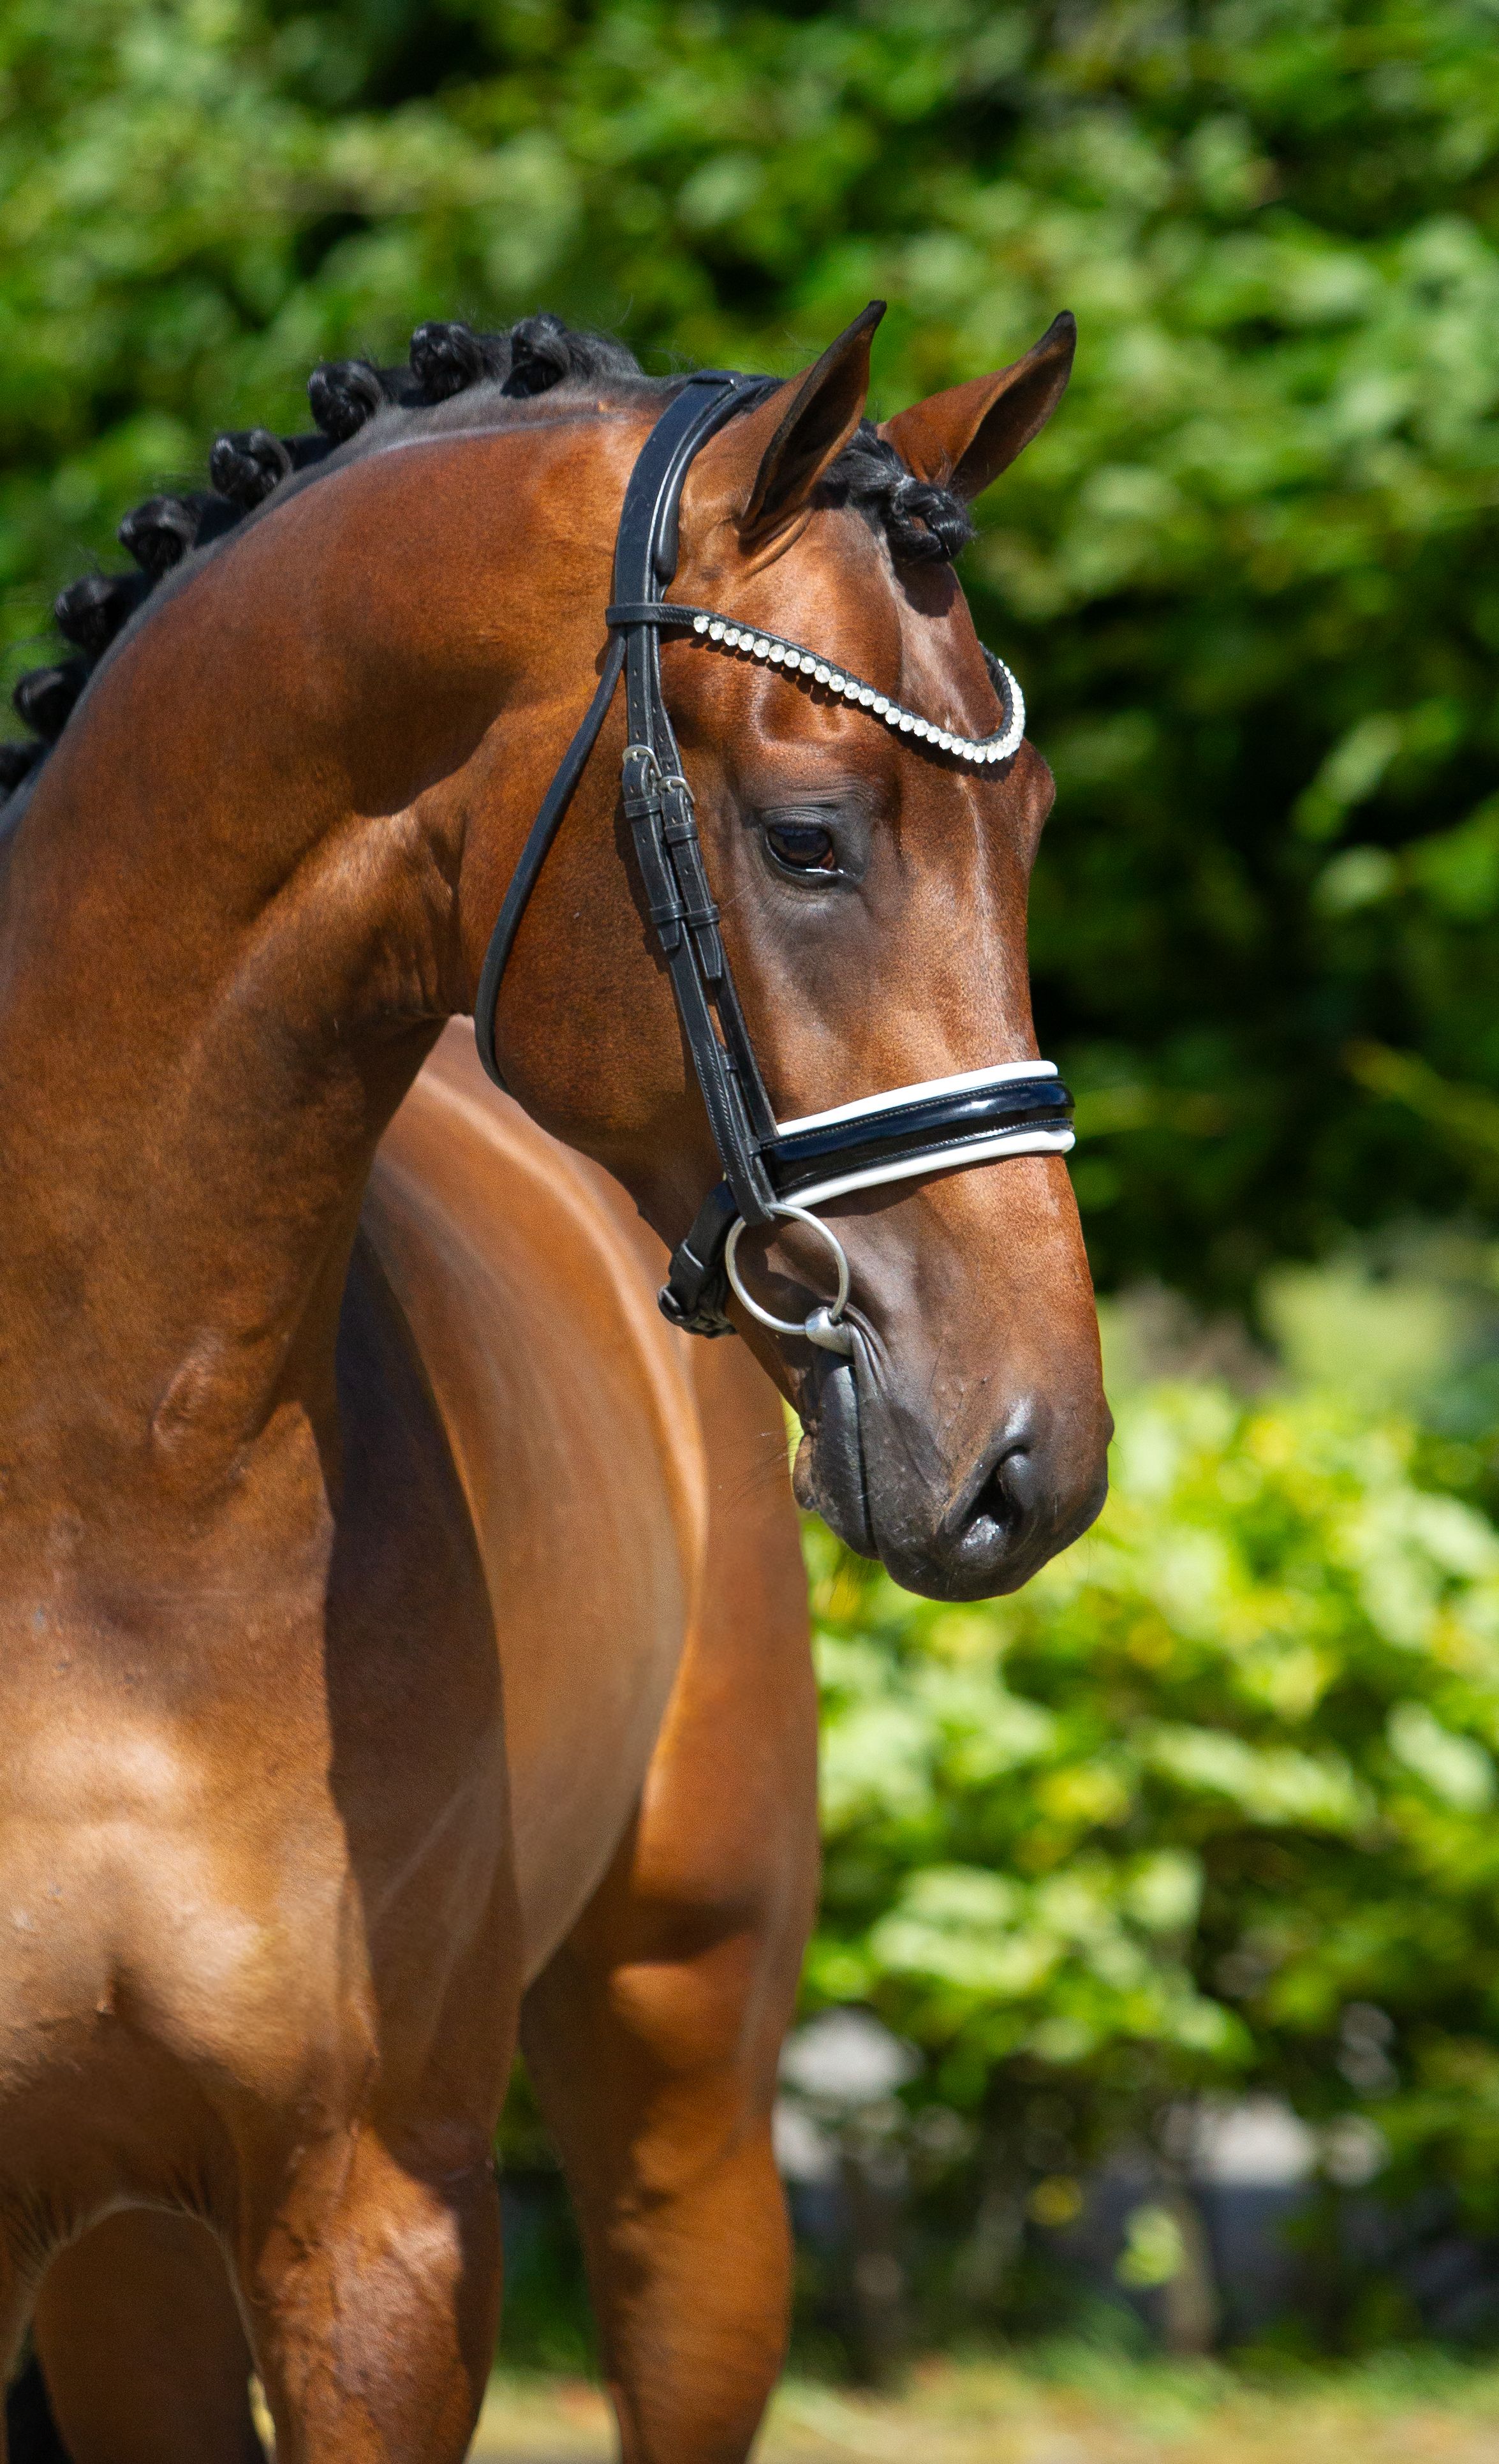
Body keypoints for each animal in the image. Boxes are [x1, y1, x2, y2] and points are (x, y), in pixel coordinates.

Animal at [0, 300, 1109, 2461]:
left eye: (1027, 834)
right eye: (808, 839)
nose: (1039, 1454)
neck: (95, 1476)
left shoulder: (379, 2228)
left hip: (687, 2099)